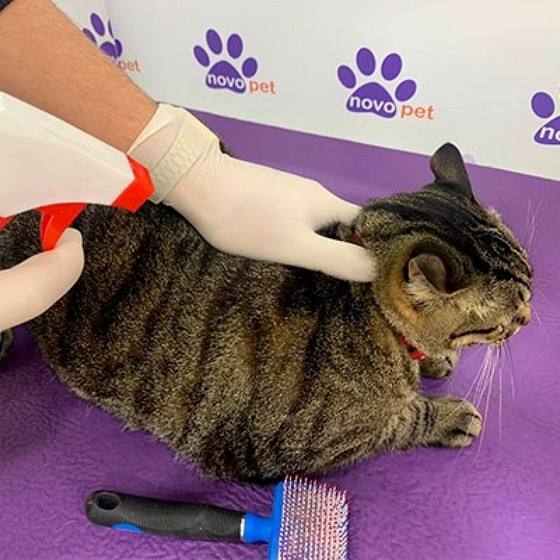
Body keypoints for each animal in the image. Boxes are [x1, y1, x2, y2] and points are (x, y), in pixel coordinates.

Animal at [0, 143, 532, 482]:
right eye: (508, 314)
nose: (529, 317)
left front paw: (438, 361)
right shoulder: (298, 442)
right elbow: (400, 420)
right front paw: (447, 414)